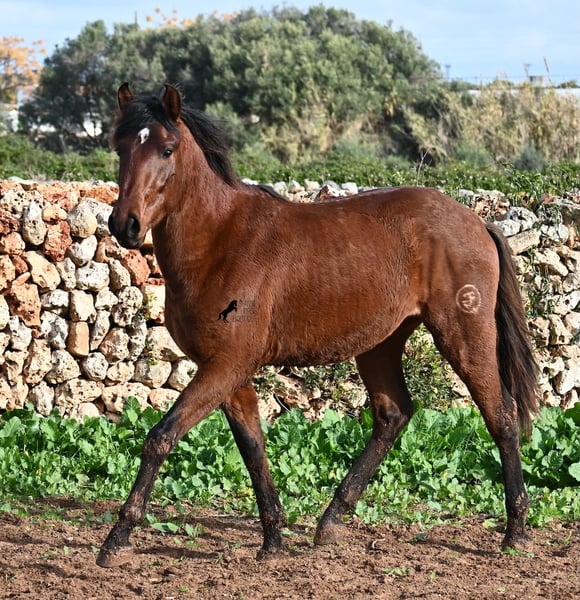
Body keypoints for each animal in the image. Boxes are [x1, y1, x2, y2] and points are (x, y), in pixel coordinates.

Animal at [97, 83, 538, 567]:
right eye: (120, 147)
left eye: (167, 148)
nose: (124, 224)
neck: (220, 242)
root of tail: (477, 221)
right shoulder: (228, 370)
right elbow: (253, 448)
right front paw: (273, 539)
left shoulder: (227, 365)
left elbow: (161, 436)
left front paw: (116, 538)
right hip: (381, 343)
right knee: (393, 415)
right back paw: (331, 520)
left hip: (463, 333)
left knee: (501, 415)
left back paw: (516, 532)